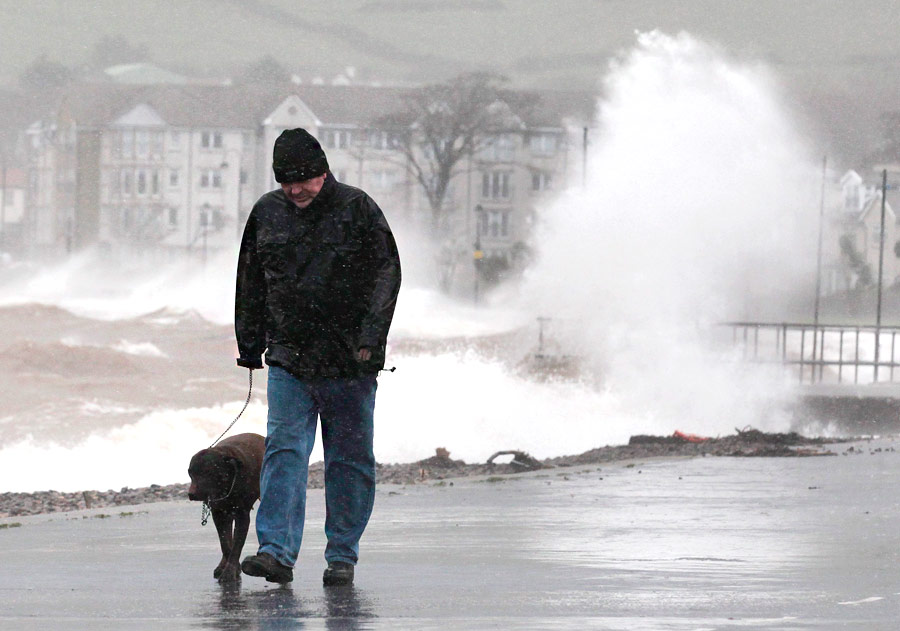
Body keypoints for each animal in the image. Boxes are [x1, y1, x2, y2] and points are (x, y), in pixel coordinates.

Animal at [186, 434, 264, 584]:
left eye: (208, 471)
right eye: (190, 473)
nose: (191, 494)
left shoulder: (242, 515)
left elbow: (236, 546)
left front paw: (230, 572)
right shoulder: (218, 514)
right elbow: (225, 543)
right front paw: (232, 567)